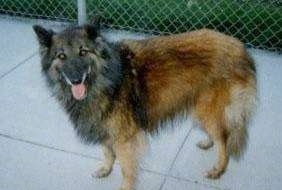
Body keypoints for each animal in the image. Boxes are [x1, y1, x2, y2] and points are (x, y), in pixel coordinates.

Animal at [33, 16, 256, 190]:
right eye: (61, 56)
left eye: (83, 52)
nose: (76, 80)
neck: (106, 78)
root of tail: (240, 47)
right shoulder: (104, 125)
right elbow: (107, 152)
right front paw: (105, 169)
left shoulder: (124, 138)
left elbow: (126, 169)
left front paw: (124, 186)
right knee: (218, 133)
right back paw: (208, 142)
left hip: (207, 109)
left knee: (224, 139)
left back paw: (218, 169)